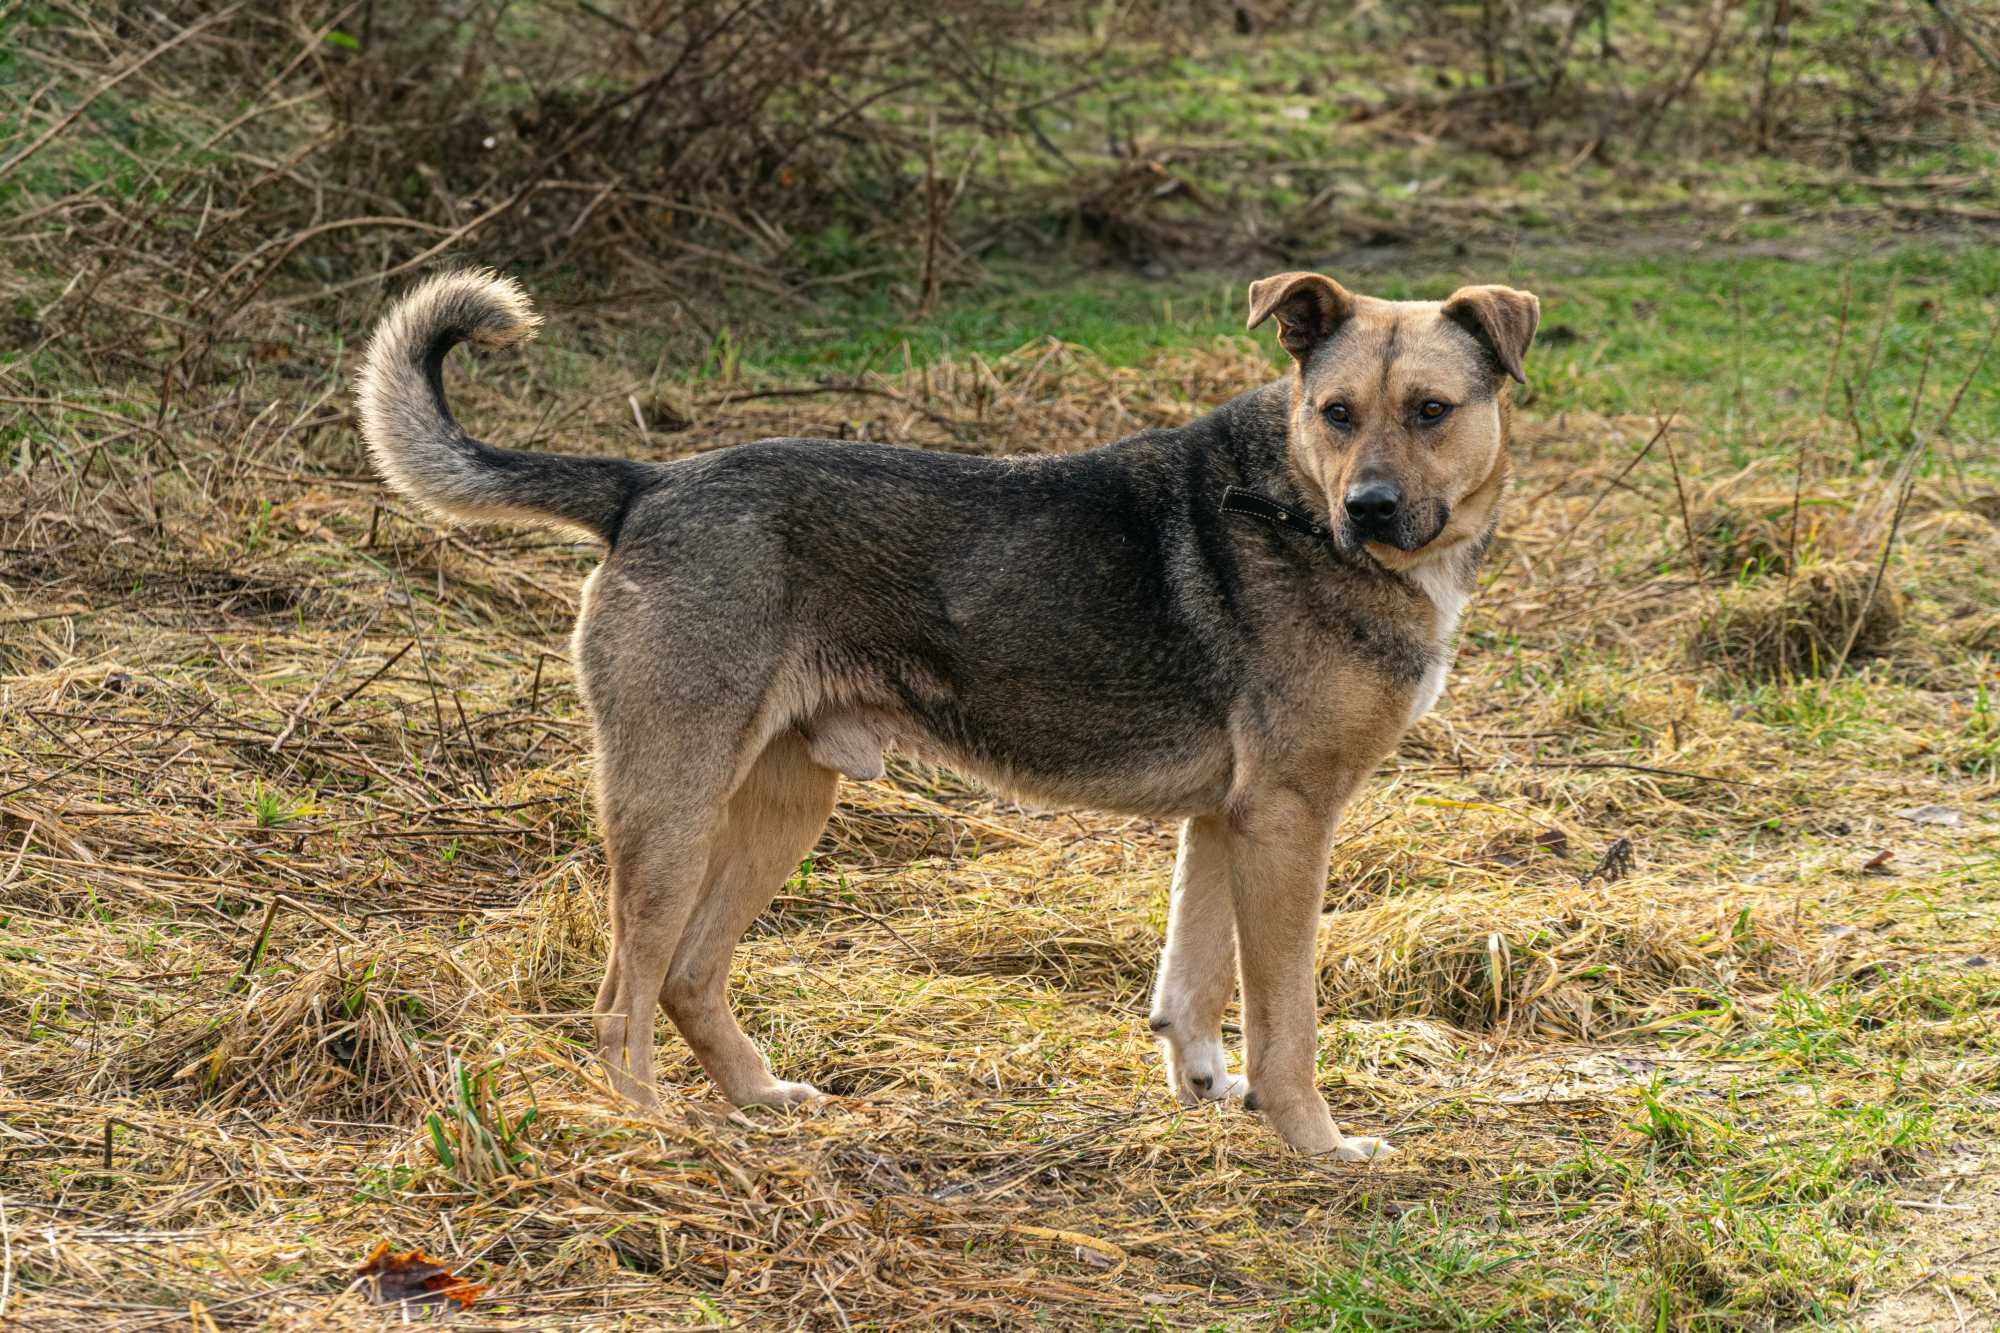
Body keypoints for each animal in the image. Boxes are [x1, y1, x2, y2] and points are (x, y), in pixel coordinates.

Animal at [360, 268, 1536, 1152]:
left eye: (1430, 411)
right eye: (1336, 414)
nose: (1366, 512)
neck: (1292, 494)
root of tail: (643, 486)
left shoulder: (1227, 819)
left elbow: (1191, 982)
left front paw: (1203, 1086)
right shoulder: (1288, 818)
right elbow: (1286, 1021)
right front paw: (1317, 1143)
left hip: (785, 802)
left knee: (689, 977)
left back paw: (758, 1097)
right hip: (672, 804)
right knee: (621, 1000)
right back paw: (654, 1134)